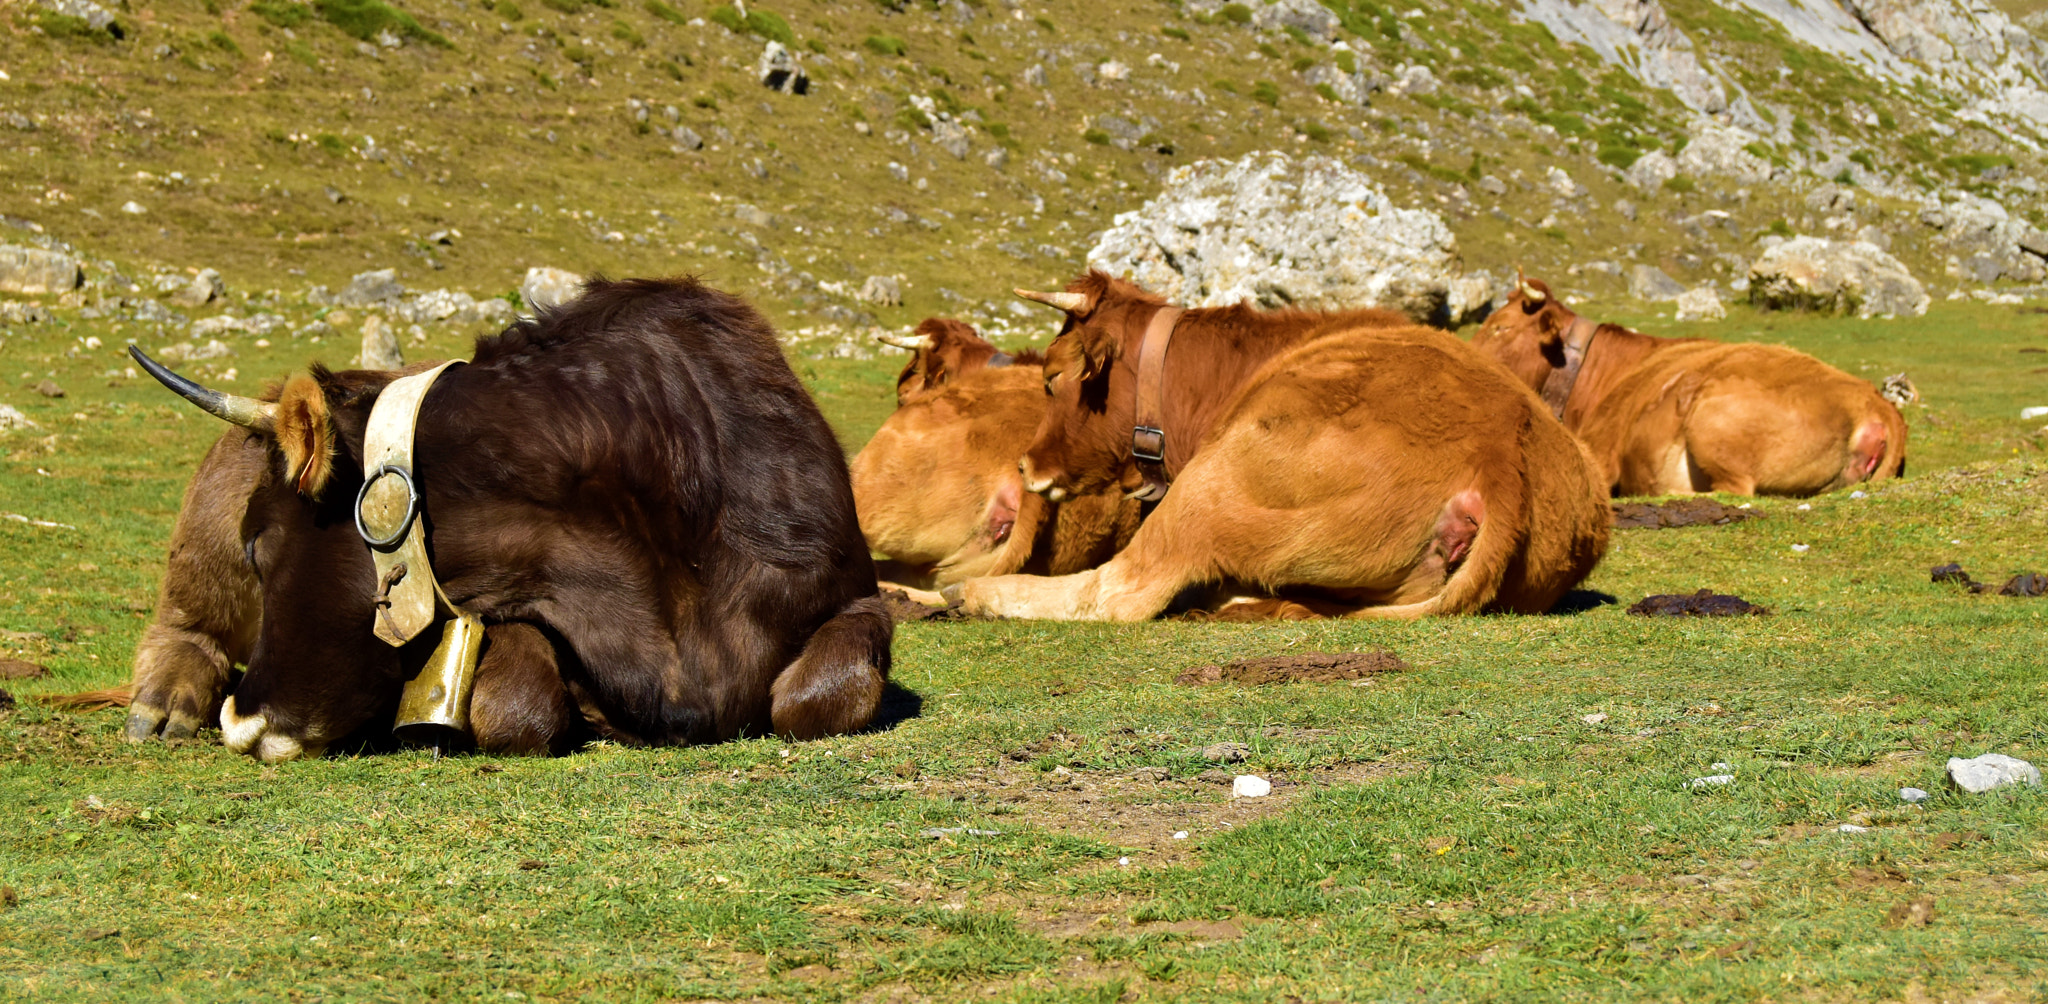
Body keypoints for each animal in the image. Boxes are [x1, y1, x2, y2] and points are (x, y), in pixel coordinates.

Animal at [129, 276, 893, 761]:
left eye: (260, 545)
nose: (243, 719)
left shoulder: (856, 596)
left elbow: (822, 698)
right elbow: (517, 707)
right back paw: (166, 698)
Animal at [952, 271, 1612, 621]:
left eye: (1051, 379)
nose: (1027, 465)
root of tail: (1503, 449)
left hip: (1210, 490)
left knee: (1113, 594)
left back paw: (968, 591)